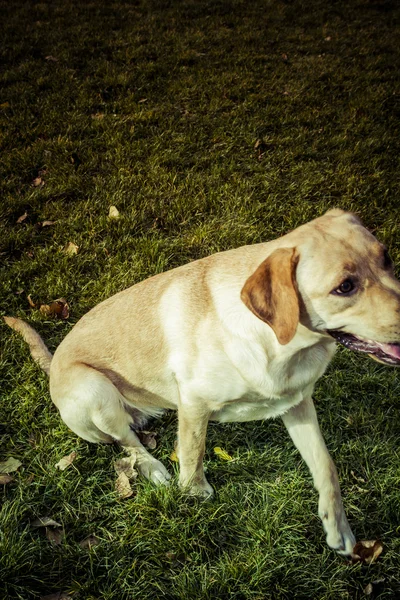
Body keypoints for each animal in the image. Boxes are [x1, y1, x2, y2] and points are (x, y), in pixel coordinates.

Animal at [3, 209, 400, 556]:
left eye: (387, 259)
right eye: (344, 286)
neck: (278, 344)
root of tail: (54, 362)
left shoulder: (297, 402)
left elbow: (326, 466)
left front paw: (338, 528)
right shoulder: (194, 402)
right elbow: (193, 453)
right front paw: (194, 493)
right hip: (94, 389)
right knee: (127, 442)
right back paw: (153, 468)